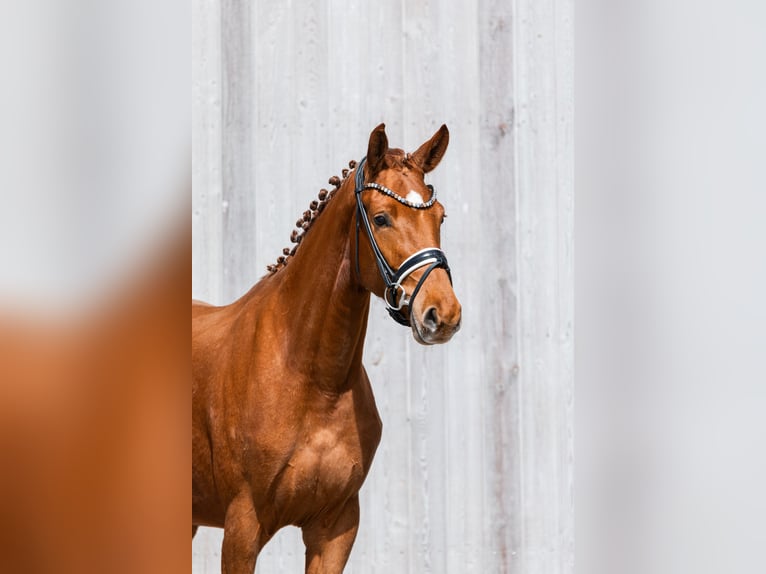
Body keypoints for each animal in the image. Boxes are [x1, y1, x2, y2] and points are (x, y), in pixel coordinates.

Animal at [192, 124, 462, 573]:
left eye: (440, 216)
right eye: (381, 218)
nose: (442, 314)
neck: (313, 380)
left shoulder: (336, 526)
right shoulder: (242, 526)